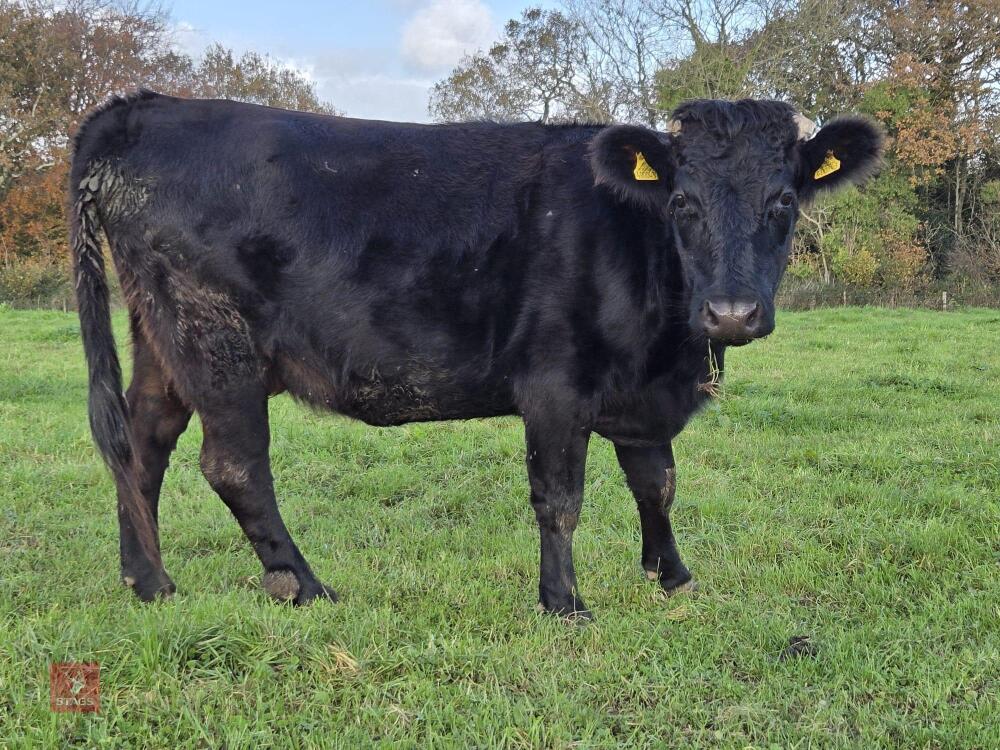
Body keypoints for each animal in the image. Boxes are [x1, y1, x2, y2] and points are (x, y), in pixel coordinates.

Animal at [69, 91, 881, 618]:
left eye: (784, 203)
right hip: (215, 339)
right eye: (682, 203)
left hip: (160, 339)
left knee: (141, 442)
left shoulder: (638, 394)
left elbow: (657, 483)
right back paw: (304, 585)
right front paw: (564, 603)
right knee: (233, 465)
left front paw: (672, 575)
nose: (732, 313)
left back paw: (148, 582)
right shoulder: (554, 388)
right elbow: (560, 499)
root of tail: (145, 106)